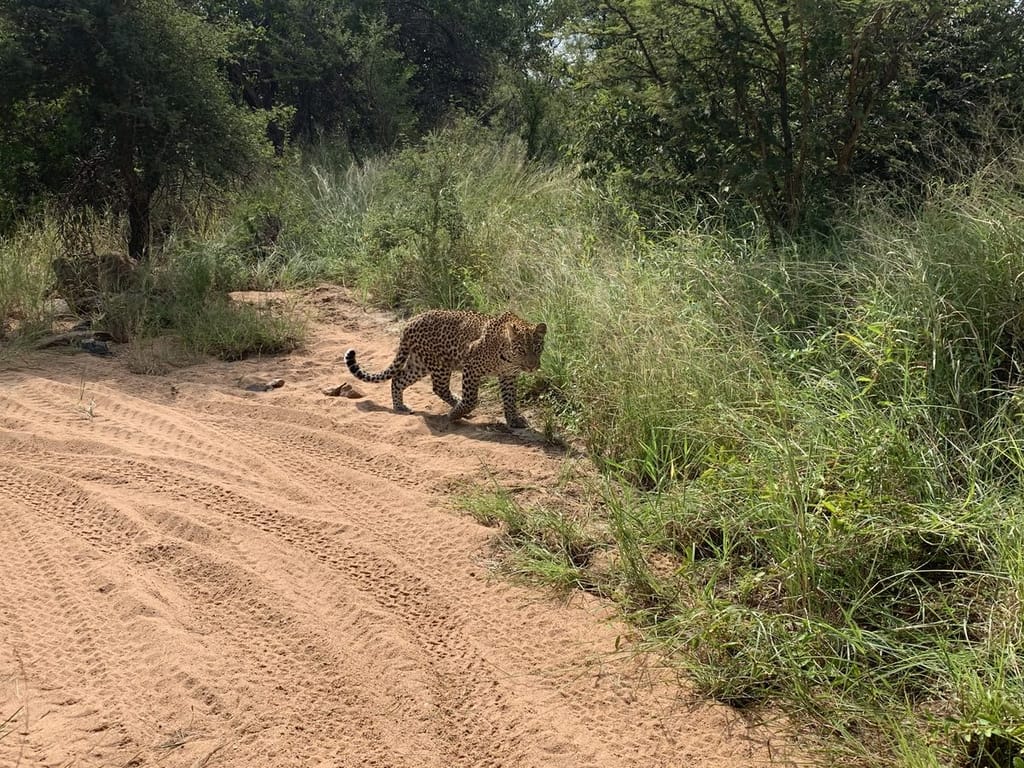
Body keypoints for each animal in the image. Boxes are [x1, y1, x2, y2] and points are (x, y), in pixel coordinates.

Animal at [345, 309, 547, 428]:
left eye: (537, 348)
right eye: (521, 350)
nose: (532, 366)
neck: (508, 359)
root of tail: (410, 322)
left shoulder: (508, 376)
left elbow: (510, 399)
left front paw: (514, 420)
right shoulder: (471, 366)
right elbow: (471, 398)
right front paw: (455, 414)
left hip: (420, 364)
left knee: (398, 378)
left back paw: (400, 406)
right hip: (439, 364)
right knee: (439, 388)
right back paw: (455, 406)